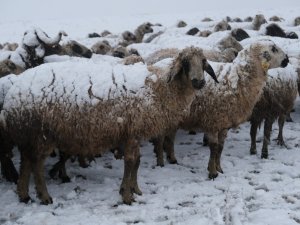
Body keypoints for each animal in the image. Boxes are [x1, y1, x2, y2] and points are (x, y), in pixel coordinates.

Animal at [1, 46, 218, 205]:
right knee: (36, 165)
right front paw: (127, 195)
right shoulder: (132, 131)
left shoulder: (133, 133)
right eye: (186, 63)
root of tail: (12, 96)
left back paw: (23, 194)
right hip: (41, 134)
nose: (199, 82)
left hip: (29, 135)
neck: (159, 89)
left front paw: (135, 189)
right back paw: (44, 197)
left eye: (203, 62)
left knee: (26, 162)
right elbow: (130, 162)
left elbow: (137, 161)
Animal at [154, 40, 290, 177]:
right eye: (273, 49)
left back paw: (171, 158)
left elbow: (220, 147)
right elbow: (214, 147)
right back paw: (160, 161)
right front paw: (212, 172)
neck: (237, 79)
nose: (287, 59)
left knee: (170, 137)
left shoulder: (224, 123)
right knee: (160, 138)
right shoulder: (213, 121)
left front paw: (219, 168)